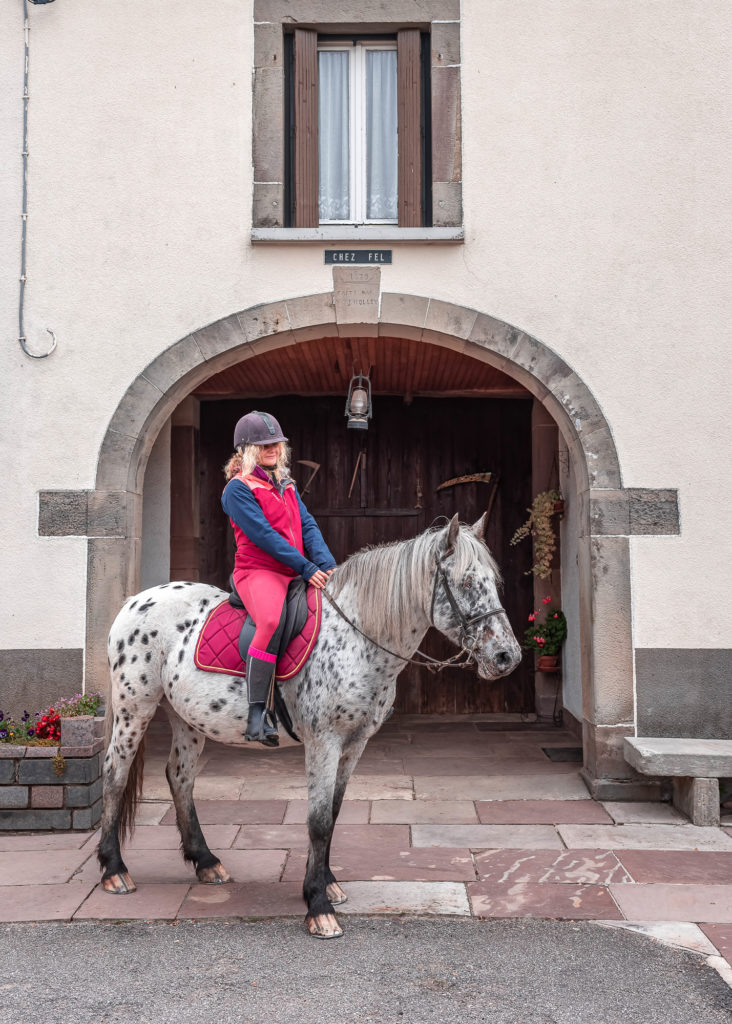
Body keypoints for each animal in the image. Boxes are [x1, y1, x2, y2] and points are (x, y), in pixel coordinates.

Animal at [97, 516, 522, 937]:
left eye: (494, 581)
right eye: (466, 582)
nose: (508, 656)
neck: (356, 637)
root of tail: (134, 601)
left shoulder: (355, 744)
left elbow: (332, 813)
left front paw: (326, 884)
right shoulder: (323, 741)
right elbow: (317, 821)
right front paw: (318, 906)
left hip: (186, 717)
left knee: (180, 777)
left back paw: (205, 861)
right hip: (135, 707)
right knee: (115, 774)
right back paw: (114, 870)